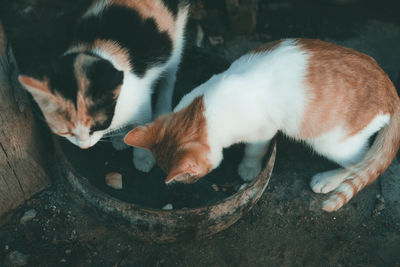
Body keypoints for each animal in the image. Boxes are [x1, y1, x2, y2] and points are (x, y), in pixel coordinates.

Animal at [19, 0, 191, 172]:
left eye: (95, 127)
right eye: (66, 131)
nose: (84, 146)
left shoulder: (140, 99)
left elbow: (142, 123)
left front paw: (143, 157)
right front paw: (121, 136)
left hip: (177, 38)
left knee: (169, 76)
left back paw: (163, 110)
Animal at [124, 38, 400, 213]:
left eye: (190, 176)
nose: (189, 184)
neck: (206, 111)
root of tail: (390, 87)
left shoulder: (264, 129)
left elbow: (254, 150)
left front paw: (248, 168)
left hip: (332, 143)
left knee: (361, 162)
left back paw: (328, 179)